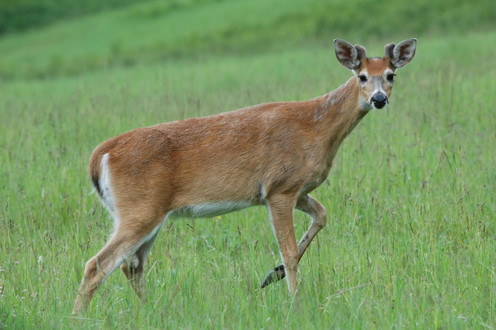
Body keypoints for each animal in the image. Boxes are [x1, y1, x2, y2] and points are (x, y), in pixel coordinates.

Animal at [71, 37, 416, 314]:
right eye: (361, 76)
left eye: (391, 75)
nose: (379, 99)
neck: (317, 129)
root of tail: (100, 155)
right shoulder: (279, 188)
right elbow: (290, 252)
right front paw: (295, 302)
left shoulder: (297, 189)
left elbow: (322, 215)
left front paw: (271, 275)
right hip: (140, 209)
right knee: (96, 265)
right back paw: (79, 317)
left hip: (149, 213)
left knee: (132, 266)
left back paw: (151, 312)